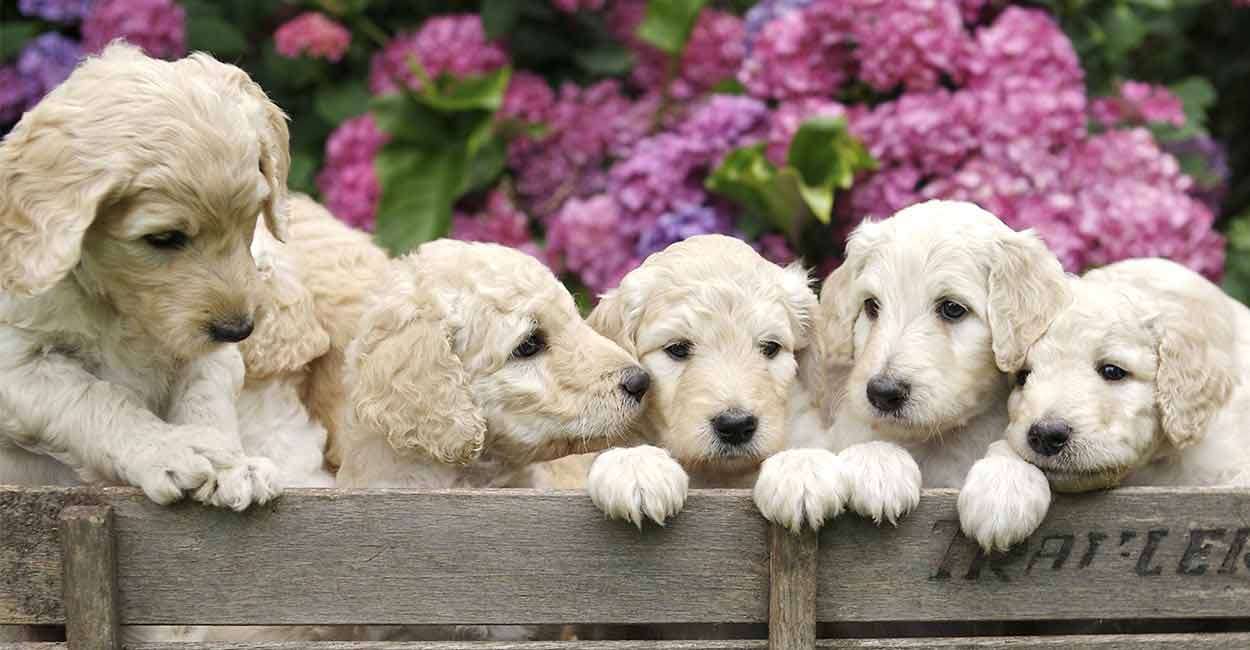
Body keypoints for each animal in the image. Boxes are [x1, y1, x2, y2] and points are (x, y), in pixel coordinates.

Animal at [0, 41, 290, 512]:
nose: (238, 329)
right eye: (164, 238)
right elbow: (97, 397)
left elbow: (205, 399)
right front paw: (169, 450)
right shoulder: (16, 365)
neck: (118, 304)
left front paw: (230, 462)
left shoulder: (211, 354)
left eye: (249, 219)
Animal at [580, 236, 825, 525]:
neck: (717, 476)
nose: (735, 425)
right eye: (677, 348)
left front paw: (801, 468)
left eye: (770, 347)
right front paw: (636, 464)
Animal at [755, 198, 1070, 532]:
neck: (938, 441)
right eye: (871, 305)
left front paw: (1004, 488)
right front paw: (878, 464)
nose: (882, 393)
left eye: (952, 308)